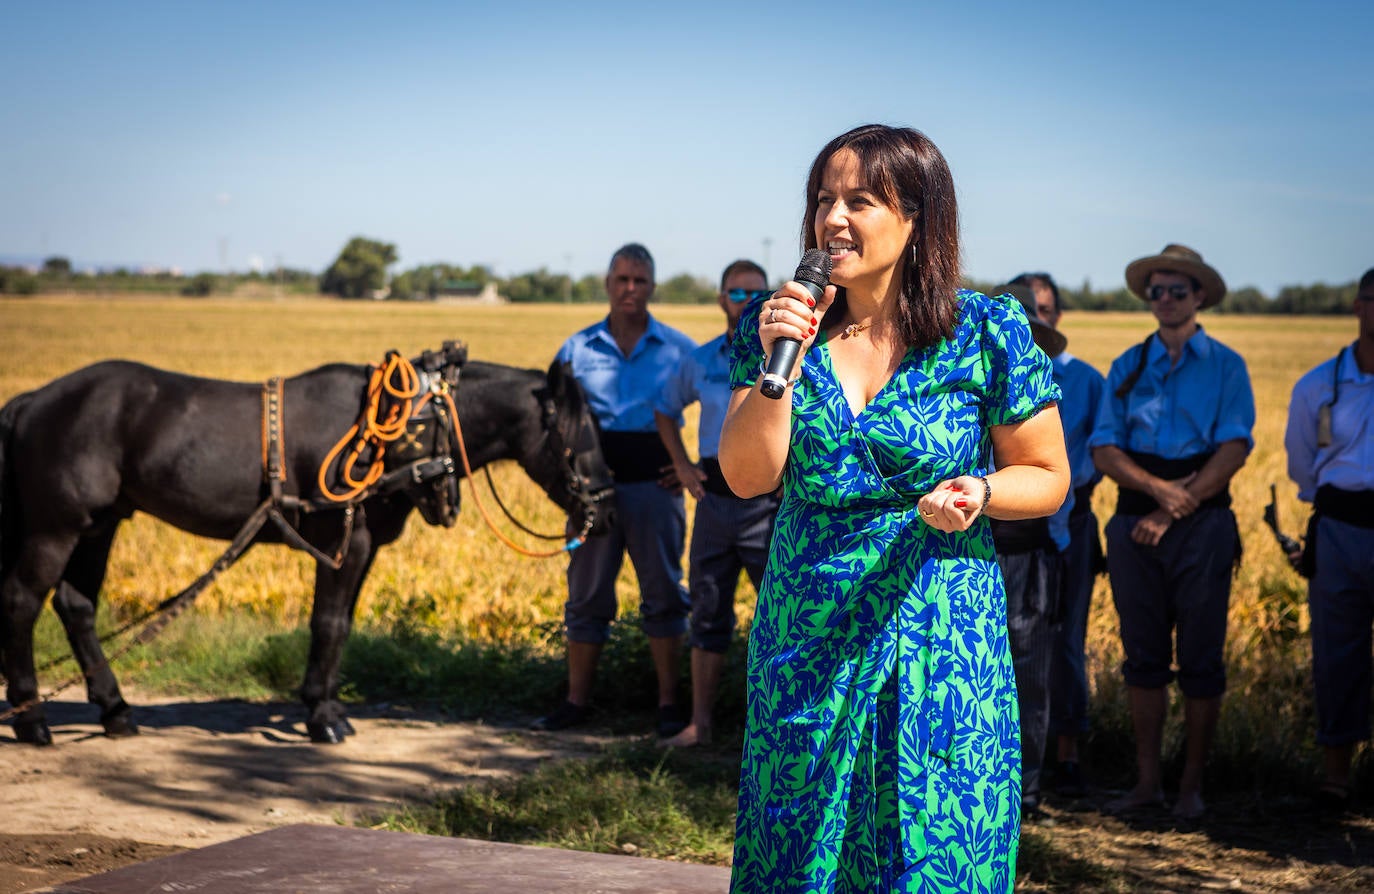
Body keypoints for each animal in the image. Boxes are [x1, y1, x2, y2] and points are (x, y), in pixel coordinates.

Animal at [0, 346, 612, 747]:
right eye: (579, 434)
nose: (605, 510)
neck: (406, 430)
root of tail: (31, 402)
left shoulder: (364, 547)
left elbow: (342, 624)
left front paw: (327, 704)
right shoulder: (344, 538)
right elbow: (329, 624)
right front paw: (323, 715)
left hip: (99, 525)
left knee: (76, 606)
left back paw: (115, 711)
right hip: (57, 526)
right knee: (22, 603)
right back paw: (32, 719)